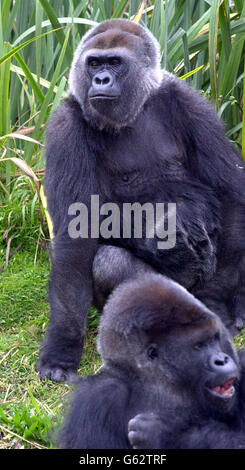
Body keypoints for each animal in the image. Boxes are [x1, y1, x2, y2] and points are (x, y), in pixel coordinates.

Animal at [36, 20, 245, 384]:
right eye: (94, 63)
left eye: (114, 63)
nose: (100, 80)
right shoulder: (64, 127)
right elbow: (77, 236)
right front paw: (61, 347)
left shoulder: (191, 103)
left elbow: (229, 193)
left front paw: (219, 301)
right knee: (111, 263)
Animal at [58, 274, 245, 450]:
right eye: (198, 346)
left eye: (213, 339)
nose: (222, 360)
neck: (154, 385)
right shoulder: (98, 398)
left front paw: (167, 434)